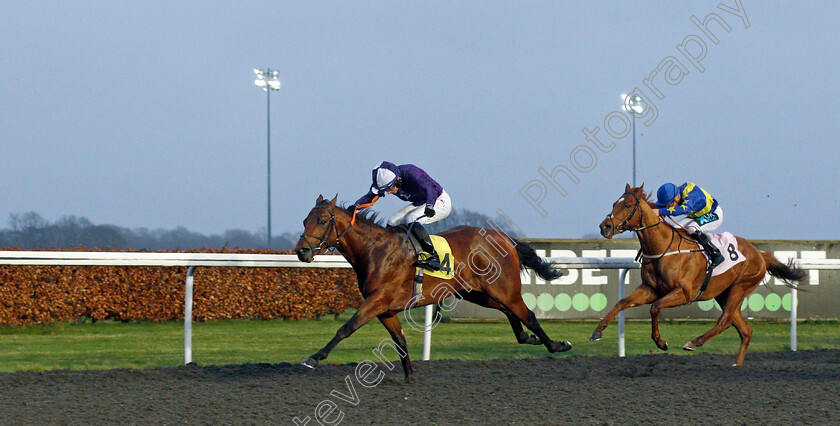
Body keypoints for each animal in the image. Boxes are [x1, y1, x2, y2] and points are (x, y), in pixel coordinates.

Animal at [292, 195, 576, 382]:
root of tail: (505, 237)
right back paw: (530, 339)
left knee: (528, 315)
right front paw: (409, 376)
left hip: (504, 289)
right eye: (304, 220)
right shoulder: (386, 309)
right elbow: (400, 341)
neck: (376, 250)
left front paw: (314, 358)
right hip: (477, 293)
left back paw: (557, 345)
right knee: (510, 313)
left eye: (322, 220)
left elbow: (346, 328)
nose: (302, 251)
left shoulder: (378, 299)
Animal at [592, 185, 804, 364]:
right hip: (723, 294)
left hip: (741, 287)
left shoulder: (685, 293)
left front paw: (661, 342)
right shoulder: (650, 289)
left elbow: (655, 307)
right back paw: (736, 364)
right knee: (745, 330)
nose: (604, 227)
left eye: (628, 205)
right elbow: (622, 303)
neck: (663, 248)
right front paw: (597, 332)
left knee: (725, 320)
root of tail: (760, 254)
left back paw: (693, 343)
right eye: (614, 203)